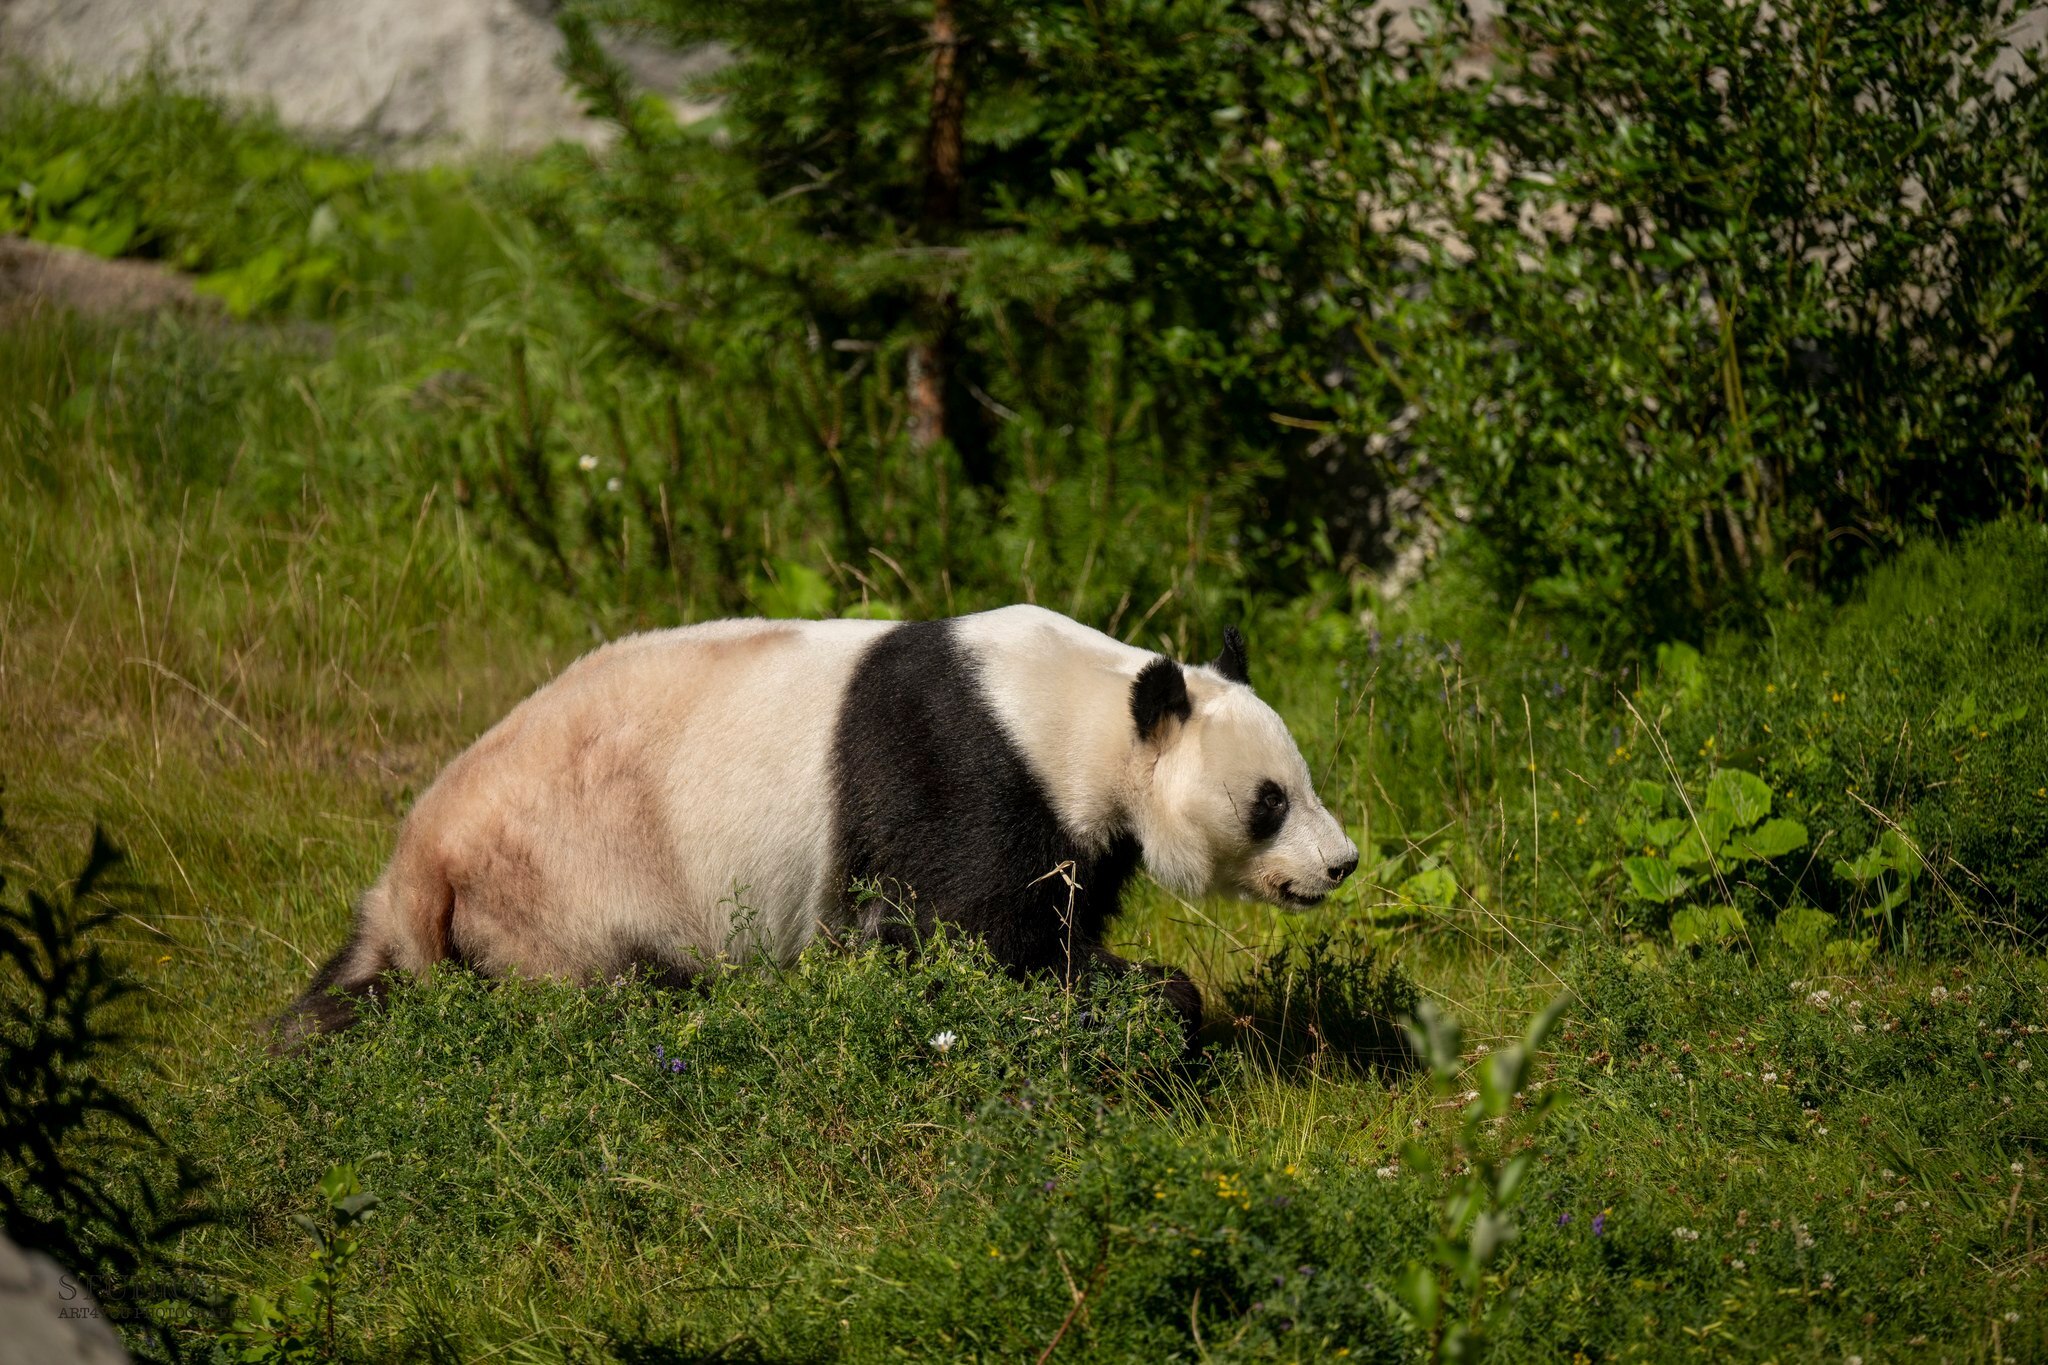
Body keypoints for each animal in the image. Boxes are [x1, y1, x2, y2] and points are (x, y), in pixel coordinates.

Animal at [276, 601, 1359, 1039]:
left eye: (1302, 782)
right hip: (568, 884)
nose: (1341, 862)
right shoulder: (962, 773)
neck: (1075, 708)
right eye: (1270, 800)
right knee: (612, 983)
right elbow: (968, 943)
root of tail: (422, 855)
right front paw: (1154, 1004)